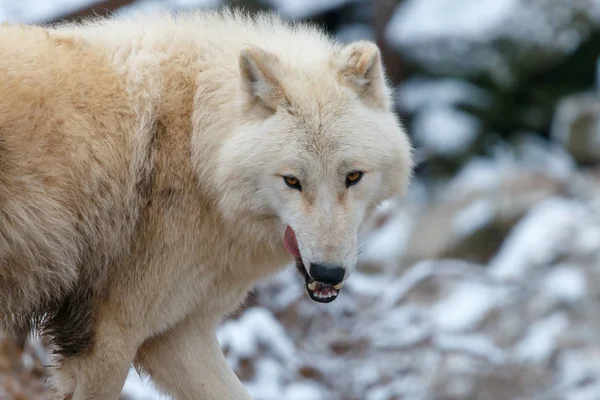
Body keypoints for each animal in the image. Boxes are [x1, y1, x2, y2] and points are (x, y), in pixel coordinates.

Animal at [0, 7, 412, 400]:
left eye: (353, 177)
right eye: (292, 181)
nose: (328, 273)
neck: (199, 152)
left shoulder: (177, 334)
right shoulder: (108, 335)